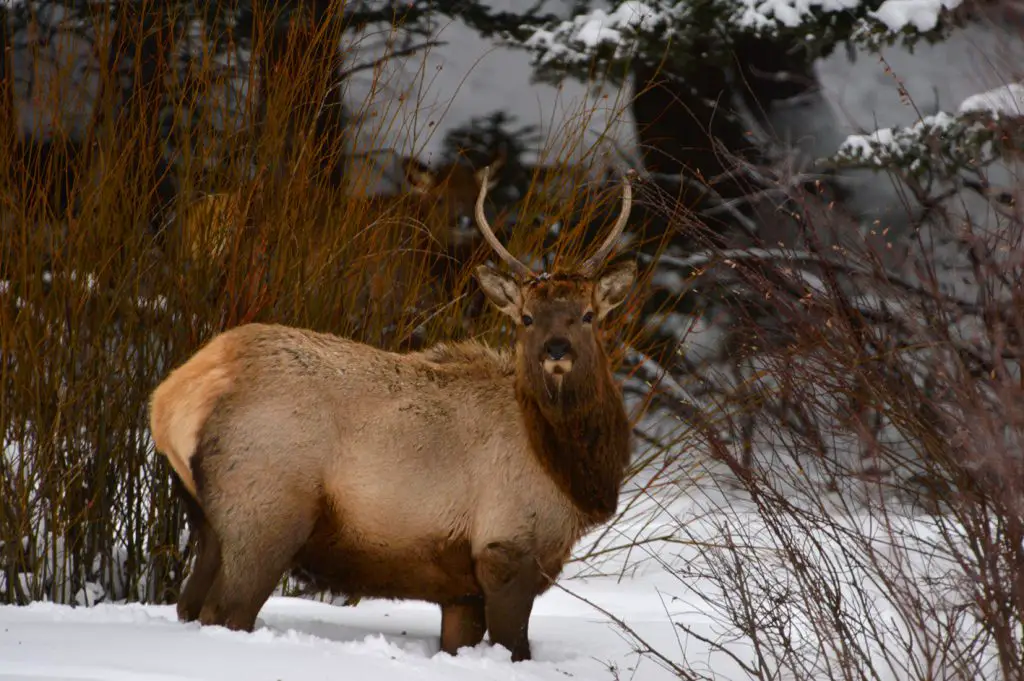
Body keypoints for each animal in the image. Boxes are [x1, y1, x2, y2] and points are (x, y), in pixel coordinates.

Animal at [148, 164, 634, 659]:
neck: (573, 477)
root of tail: (169, 402)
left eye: (589, 314)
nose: (557, 349)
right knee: (225, 612)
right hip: (264, 515)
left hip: (206, 520)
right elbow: (515, 648)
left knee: (188, 605)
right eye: (527, 318)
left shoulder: (460, 589)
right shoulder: (507, 549)